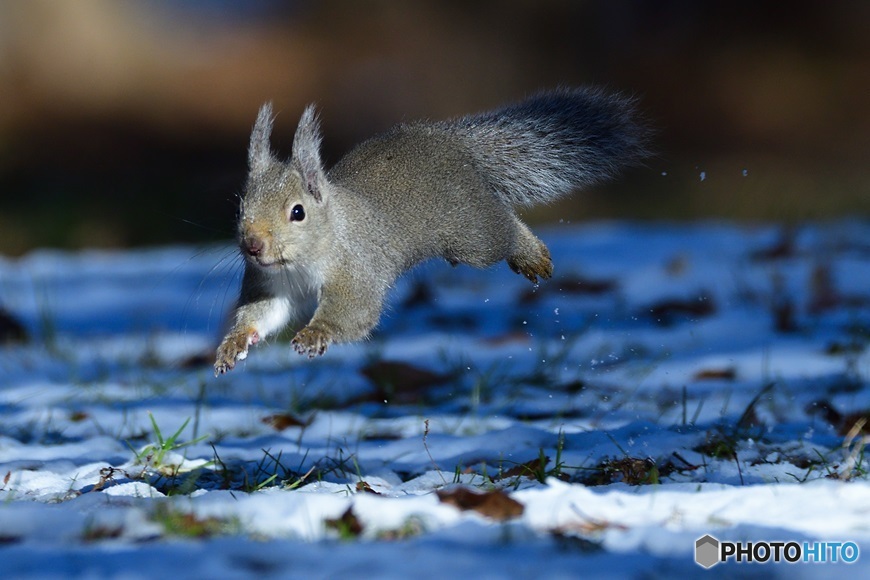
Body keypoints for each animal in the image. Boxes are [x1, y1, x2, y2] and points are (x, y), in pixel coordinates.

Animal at [215, 87, 652, 376]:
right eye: (241, 205)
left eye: (298, 212)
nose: (253, 246)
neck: (300, 263)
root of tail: (452, 143)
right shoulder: (271, 285)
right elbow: (263, 314)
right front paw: (234, 343)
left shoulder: (357, 269)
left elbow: (353, 312)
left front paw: (315, 334)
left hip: (472, 233)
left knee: (504, 228)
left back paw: (530, 252)